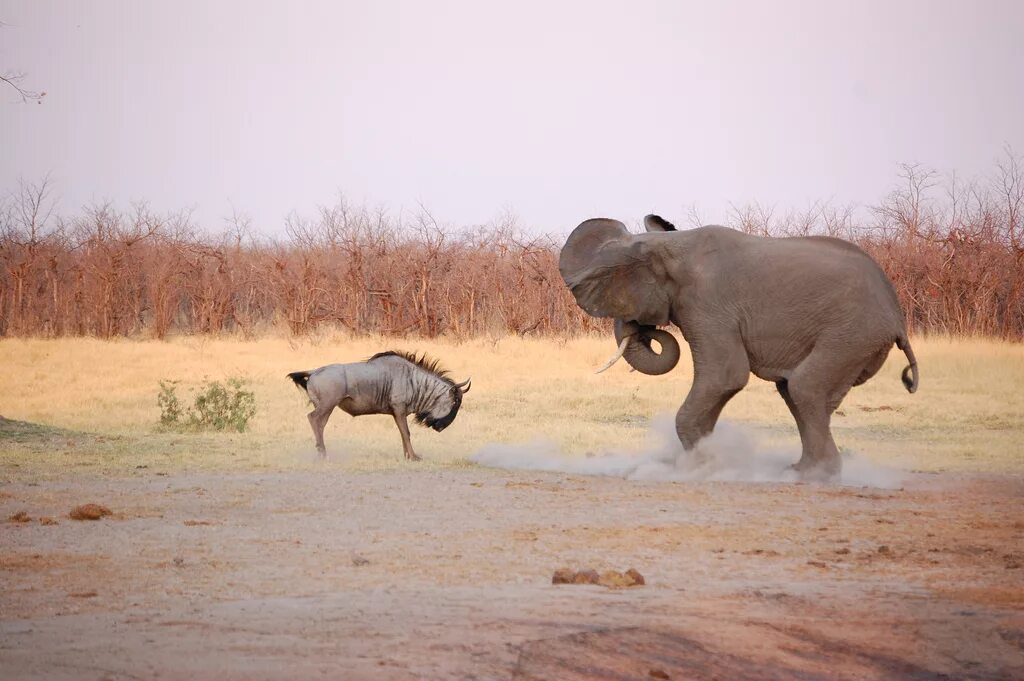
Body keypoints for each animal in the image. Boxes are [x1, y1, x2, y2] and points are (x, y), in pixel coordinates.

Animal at [561, 213, 921, 477]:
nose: (644, 331)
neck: (668, 244)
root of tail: (897, 316)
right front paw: (702, 459)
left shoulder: (707, 303)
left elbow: (725, 376)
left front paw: (698, 465)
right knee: (793, 391)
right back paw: (798, 470)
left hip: (853, 333)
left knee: (804, 388)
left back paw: (816, 474)